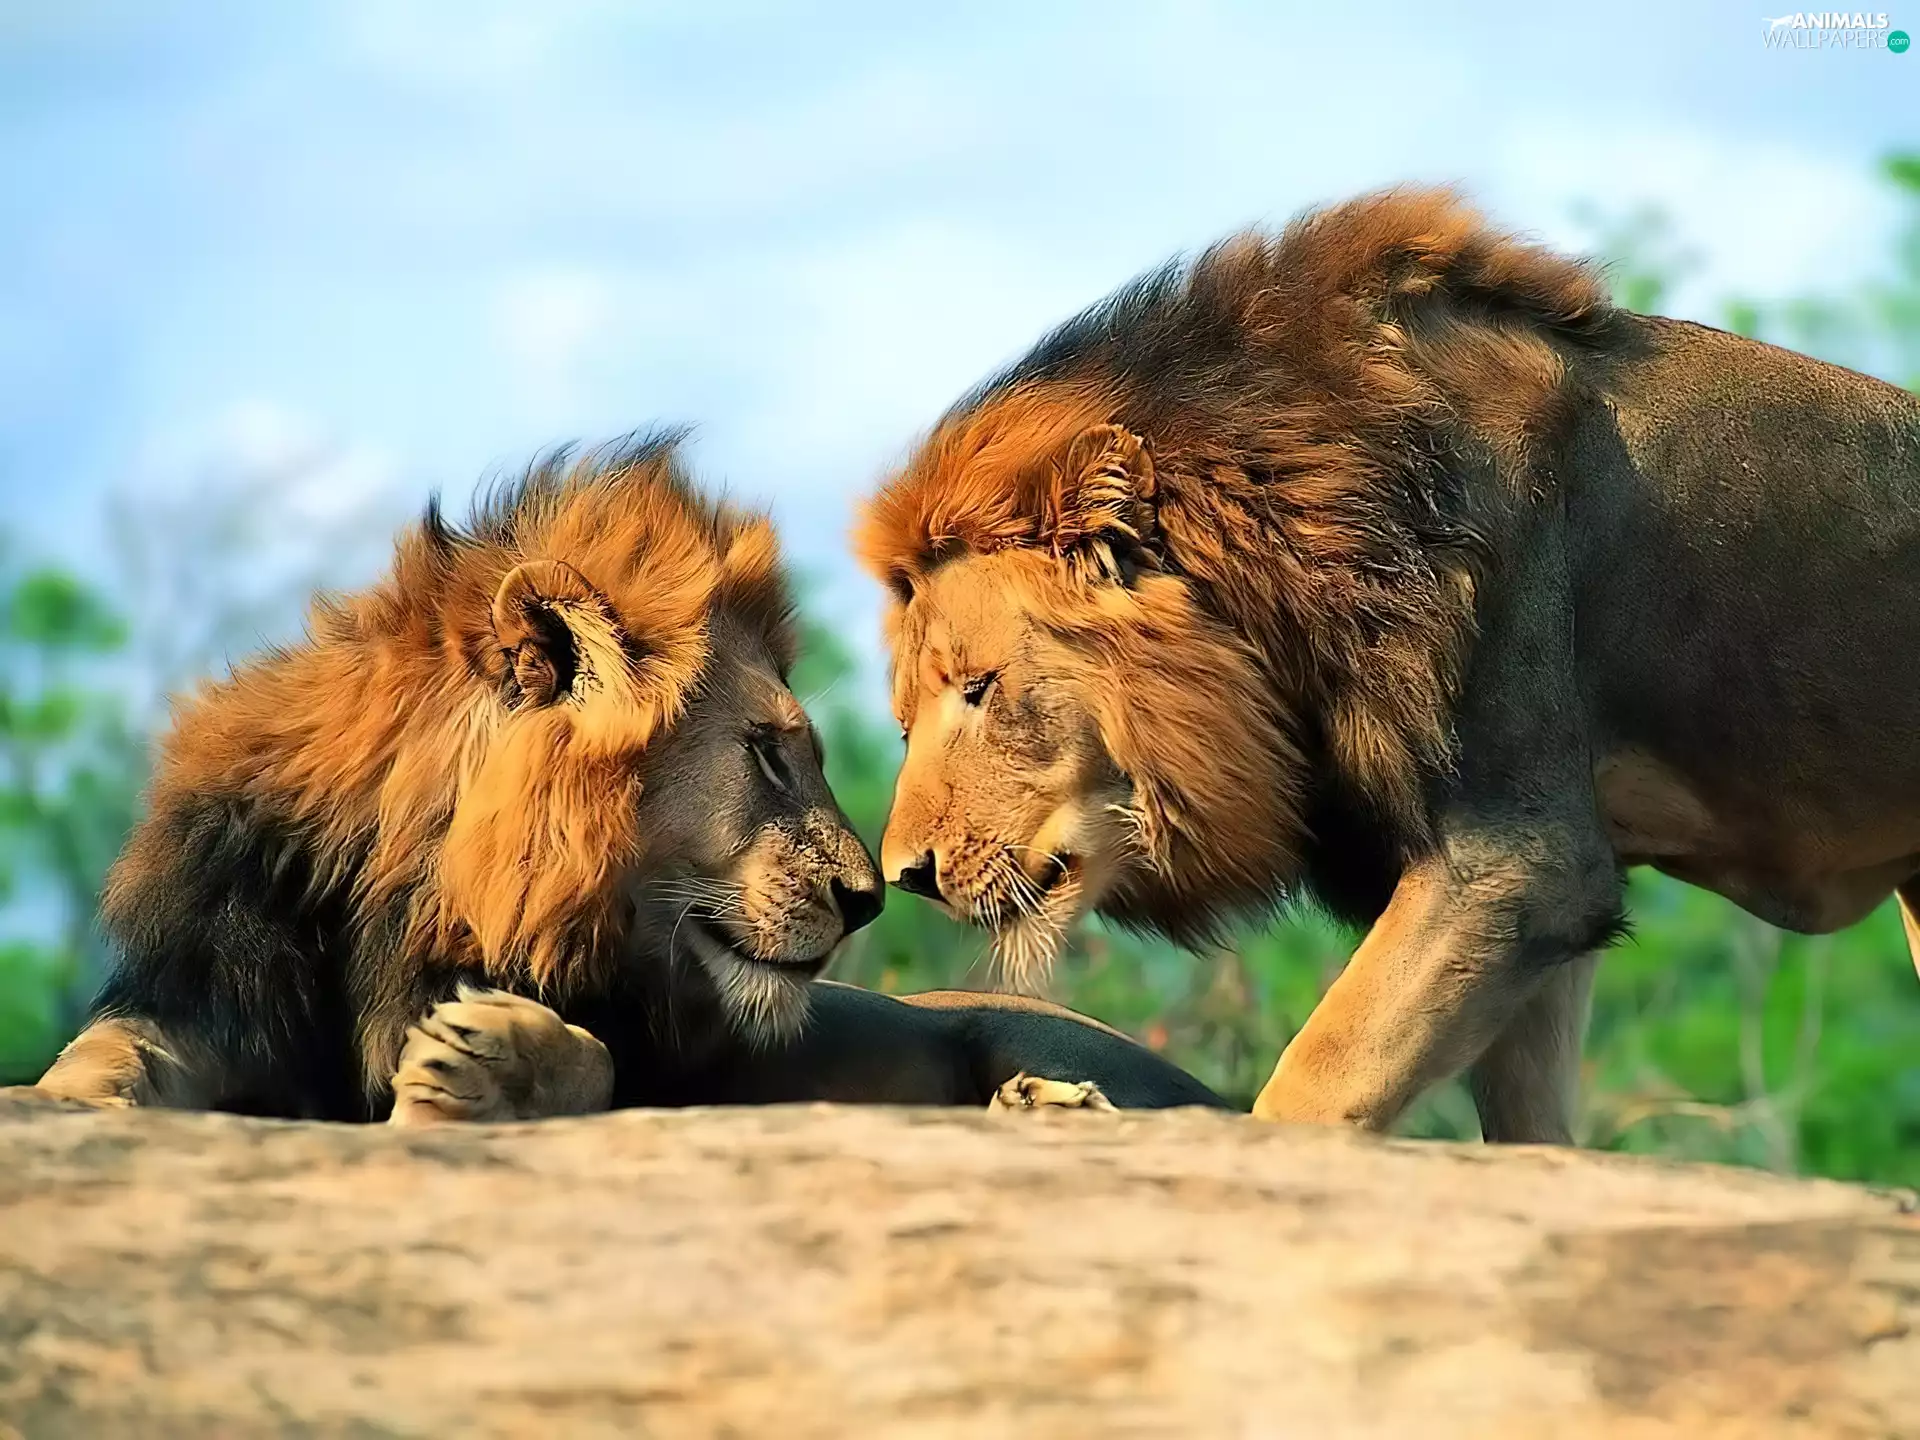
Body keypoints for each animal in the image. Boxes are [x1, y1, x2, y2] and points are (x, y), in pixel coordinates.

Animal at [33, 434, 1222, 1121]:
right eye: (769, 753)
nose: (868, 901)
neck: (410, 909)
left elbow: (594, 1065)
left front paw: (483, 1068)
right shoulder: (211, 991)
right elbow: (107, 1054)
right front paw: (71, 1100)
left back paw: (1048, 1106)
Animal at [856, 186, 1920, 1145]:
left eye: (980, 689)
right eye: (906, 720)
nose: (909, 874)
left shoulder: (1520, 859)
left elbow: (1317, 1079)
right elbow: (1527, 1126)